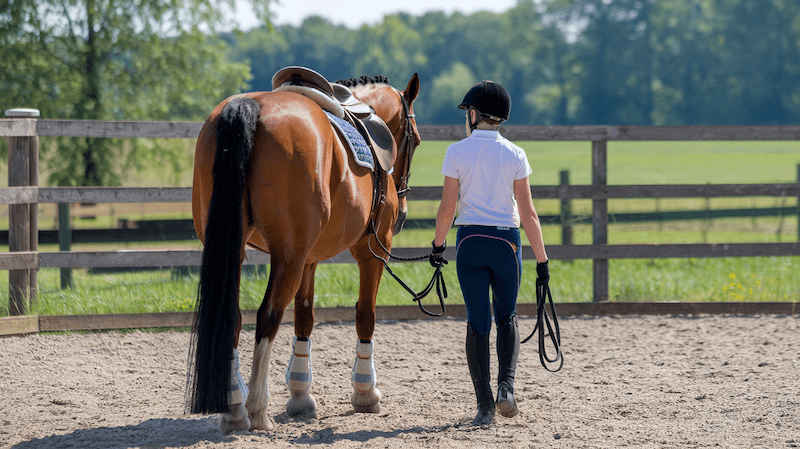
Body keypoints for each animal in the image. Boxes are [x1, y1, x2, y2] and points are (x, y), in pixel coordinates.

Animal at [187, 72, 422, 430]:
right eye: (417, 140)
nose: (404, 211)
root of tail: (251, 106)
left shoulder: (308, 258)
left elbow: (305, 317)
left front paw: (300, 395)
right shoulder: (371, 250)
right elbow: (365, 316)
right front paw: (365, 393)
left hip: (247, 251)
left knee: (235, 318)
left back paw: (234, 409)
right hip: (288, 256)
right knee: (267, 316)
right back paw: (256, 409)